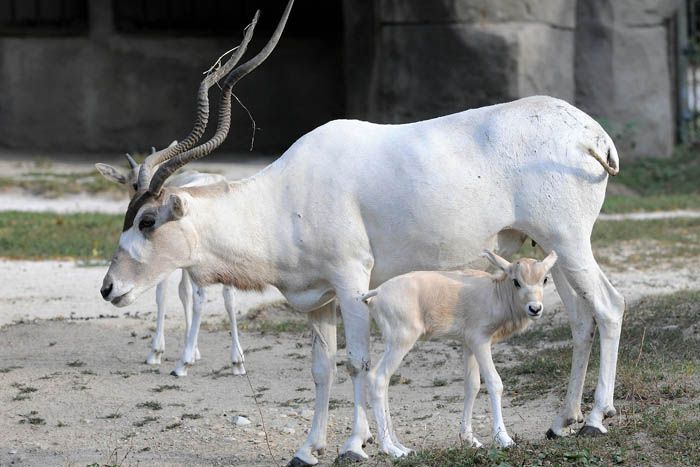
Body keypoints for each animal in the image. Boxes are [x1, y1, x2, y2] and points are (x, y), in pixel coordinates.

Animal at [94, 144, 245, 374]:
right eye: (133, 183)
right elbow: (185, 293)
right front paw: (193, 349)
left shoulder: (165, 265)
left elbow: (165, 295)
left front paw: (157, 352)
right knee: (228, 297)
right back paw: (237, 361)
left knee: (201, 297)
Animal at [360, 249, 556, 458]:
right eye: (516, 281)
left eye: (544, 279)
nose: (535, 308)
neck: (494, 293)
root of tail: (377, 293)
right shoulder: (480, 341)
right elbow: (494, 383)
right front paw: (504, 439)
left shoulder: (468, 345)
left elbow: (472, 385)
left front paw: (470, 439)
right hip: (401, 341)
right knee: (377, 378)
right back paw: (391, 449)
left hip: (393, 344)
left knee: (385, 382)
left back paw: (402, 447)